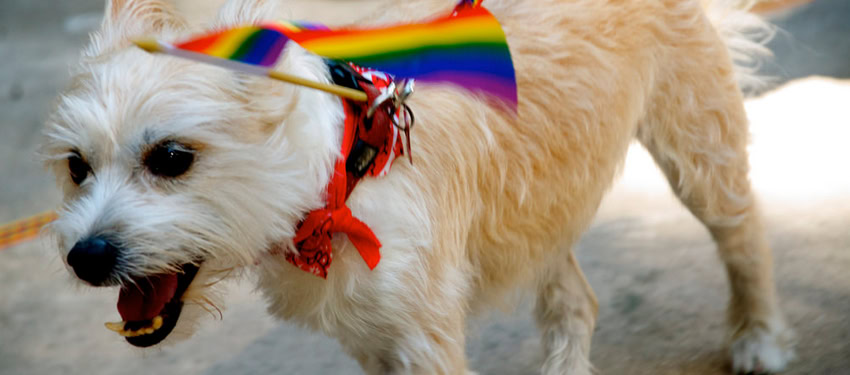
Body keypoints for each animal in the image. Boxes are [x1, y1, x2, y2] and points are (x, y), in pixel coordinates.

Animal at [39, 0, 796, 374]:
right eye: (77, 166)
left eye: (171, 157)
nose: (86, 257)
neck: (346, 170)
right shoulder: (376, 340)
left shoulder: (422, 338)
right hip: (541, 203)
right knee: (576, 303)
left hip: (697, 154)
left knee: (744, 236)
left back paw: (760, 338)